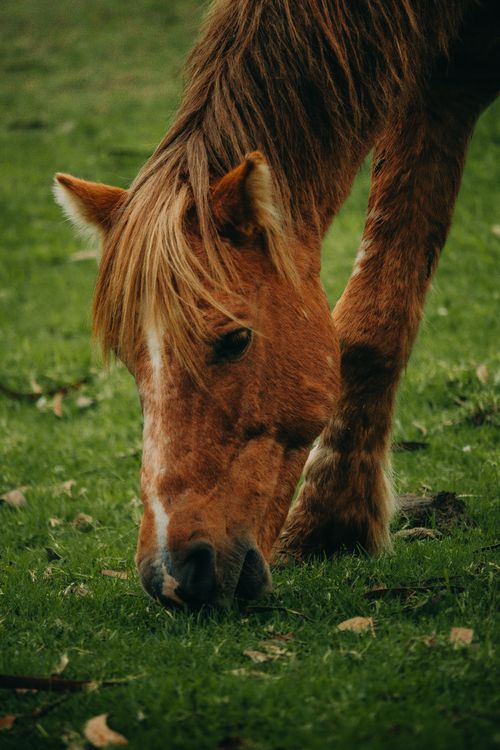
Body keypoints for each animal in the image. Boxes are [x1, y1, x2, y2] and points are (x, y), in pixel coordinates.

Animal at [54, 0, 499, 608]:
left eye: (236, 338)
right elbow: (375, 321)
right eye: (127, 358)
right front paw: (333, 526)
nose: (172, 576)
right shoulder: (444, 80)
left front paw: (332, 523)